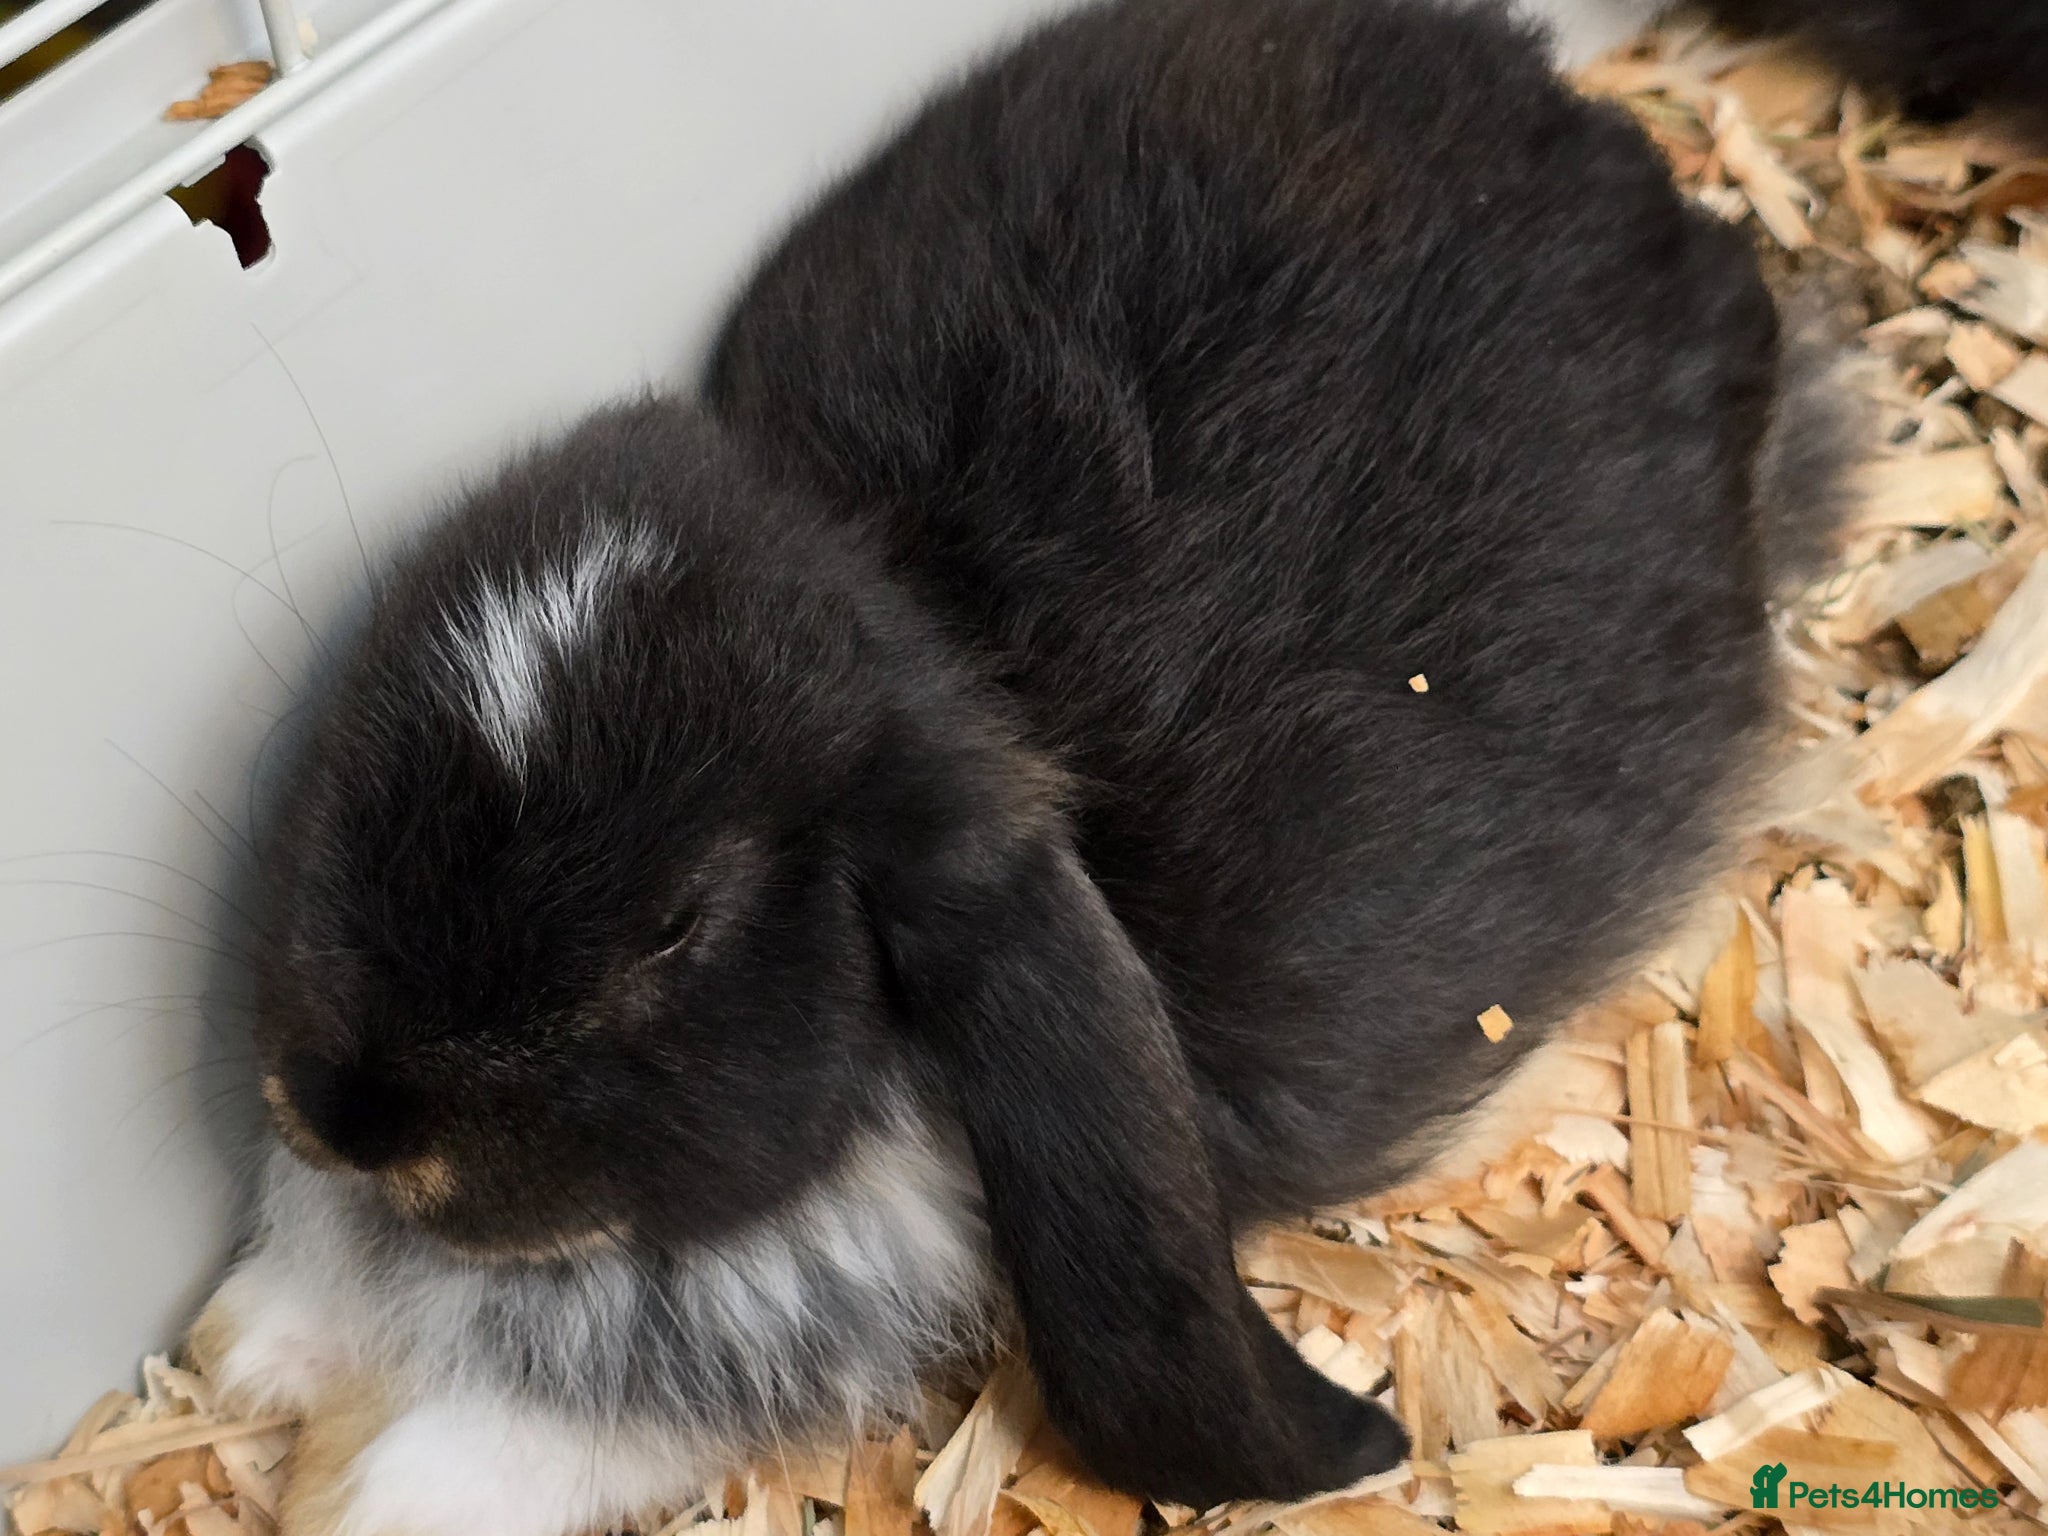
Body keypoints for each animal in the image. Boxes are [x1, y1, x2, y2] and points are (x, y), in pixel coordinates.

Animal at [194, 0, 1859, 1531]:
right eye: (358, 723)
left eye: (679, 923)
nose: (349, 1121)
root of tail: (1572, 115)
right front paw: (248, 1345)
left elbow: (522, 1439)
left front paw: (376, 1493)